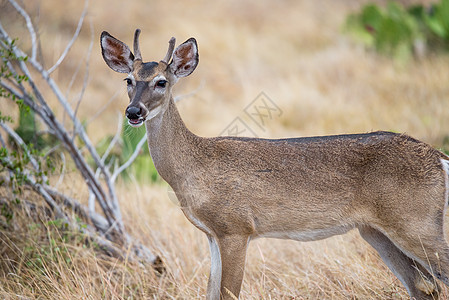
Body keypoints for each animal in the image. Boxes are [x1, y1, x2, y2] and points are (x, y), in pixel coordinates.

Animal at [100, 28, 448, 300]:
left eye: (161, 82)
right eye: (128, 79)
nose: (134, 112)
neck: (193, 168)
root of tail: (439, 158)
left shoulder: (236, 227)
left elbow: (228, 293)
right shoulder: (212, 233)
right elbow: (210, 292)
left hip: (416, 222)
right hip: (376, 231)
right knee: (423, 286)